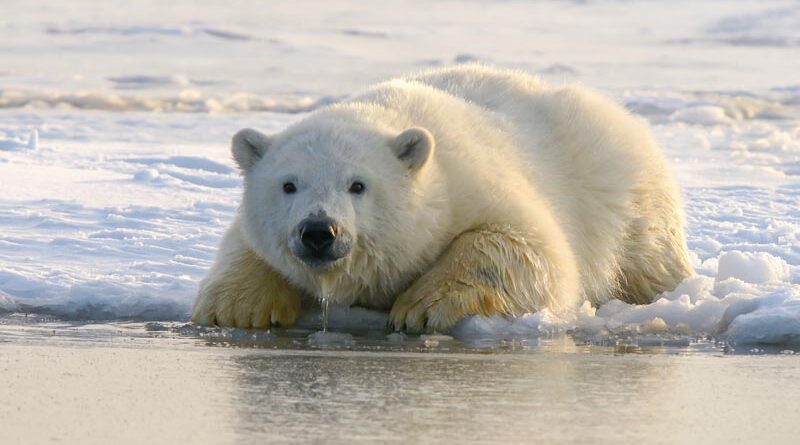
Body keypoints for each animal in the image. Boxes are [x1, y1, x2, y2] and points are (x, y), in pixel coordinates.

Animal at [191, 64, 692, 332]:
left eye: (358, 184)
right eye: (288, 184)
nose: (318, 231)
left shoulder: (474, 183)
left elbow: (530, 248)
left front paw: (419, 308)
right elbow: (243, 243)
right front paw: (238, 308)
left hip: (625, 197)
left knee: (648, 259)